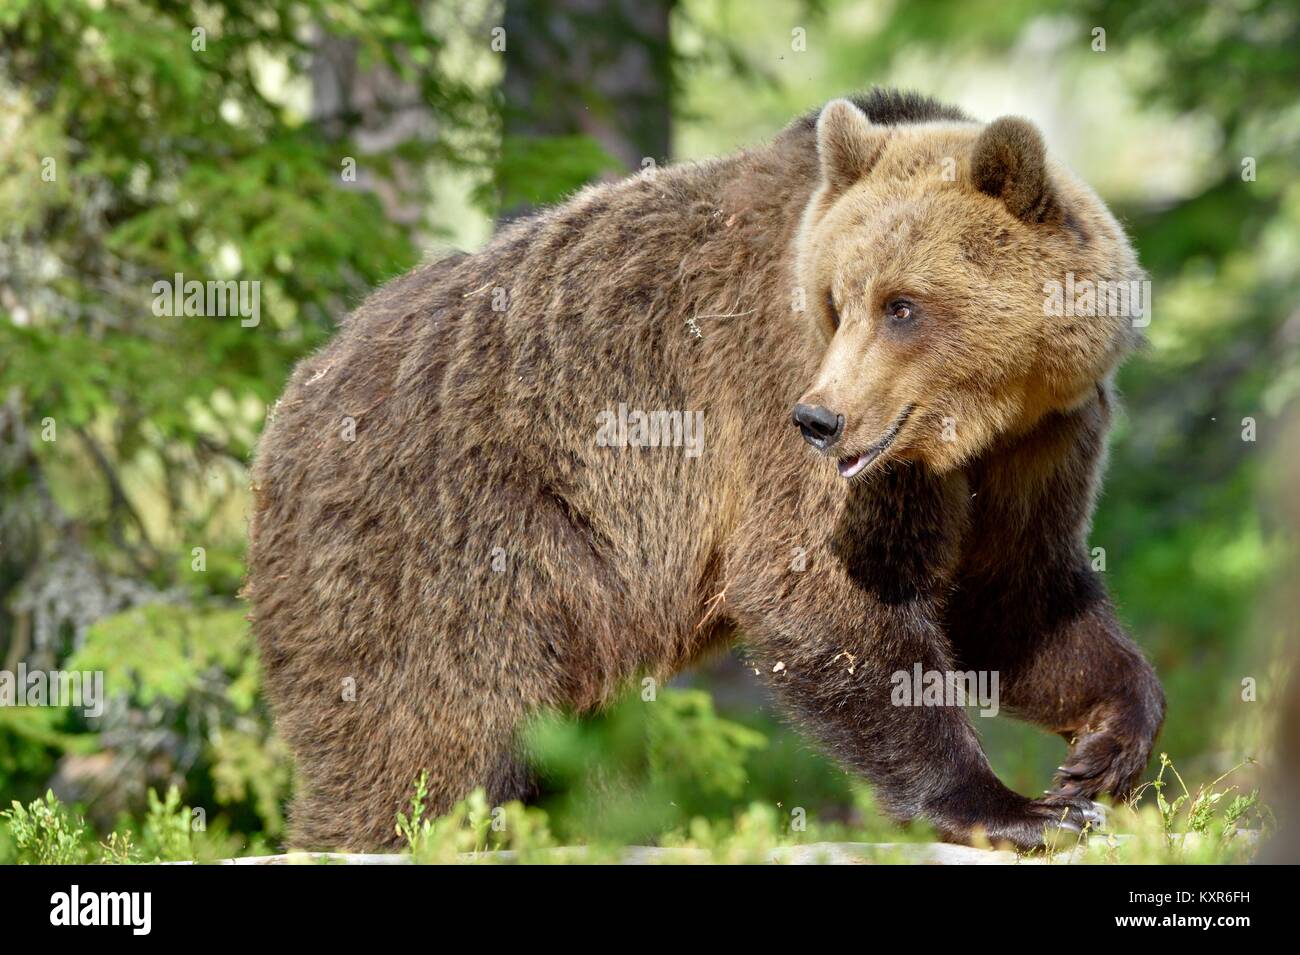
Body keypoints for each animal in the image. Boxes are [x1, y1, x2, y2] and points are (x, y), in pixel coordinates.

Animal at [246, 87, 1165, 852]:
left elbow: (1014, 594)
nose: (822, 420)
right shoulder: (775, 395)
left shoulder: (1042, 439)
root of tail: (290, 402)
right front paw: (1012, 808)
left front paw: (1104, 750)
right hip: (445, 545)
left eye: (902, 305)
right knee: (432, 731)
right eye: (839, 301)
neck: (979, 417)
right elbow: (824, 588)